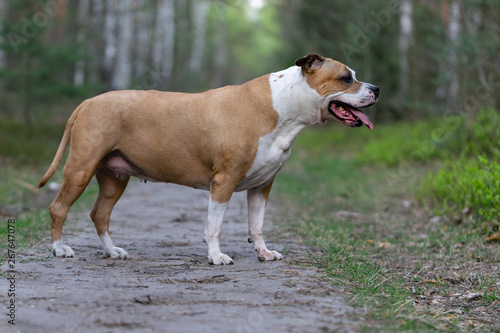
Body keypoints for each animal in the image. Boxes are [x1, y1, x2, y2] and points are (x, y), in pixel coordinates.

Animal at [39, 53, 378, 264]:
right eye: (346, 78)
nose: (376, 88)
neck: (282, 108)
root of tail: (87, 102)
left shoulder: (262, 186)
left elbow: (257, 225)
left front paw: (263, 253)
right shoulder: (224, 182)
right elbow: (214, 225)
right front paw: (216, 257)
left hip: (114, 177)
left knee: (100, 214)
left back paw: (112, 252)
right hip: (81, 168)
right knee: (58, 208)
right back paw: (59, 249)